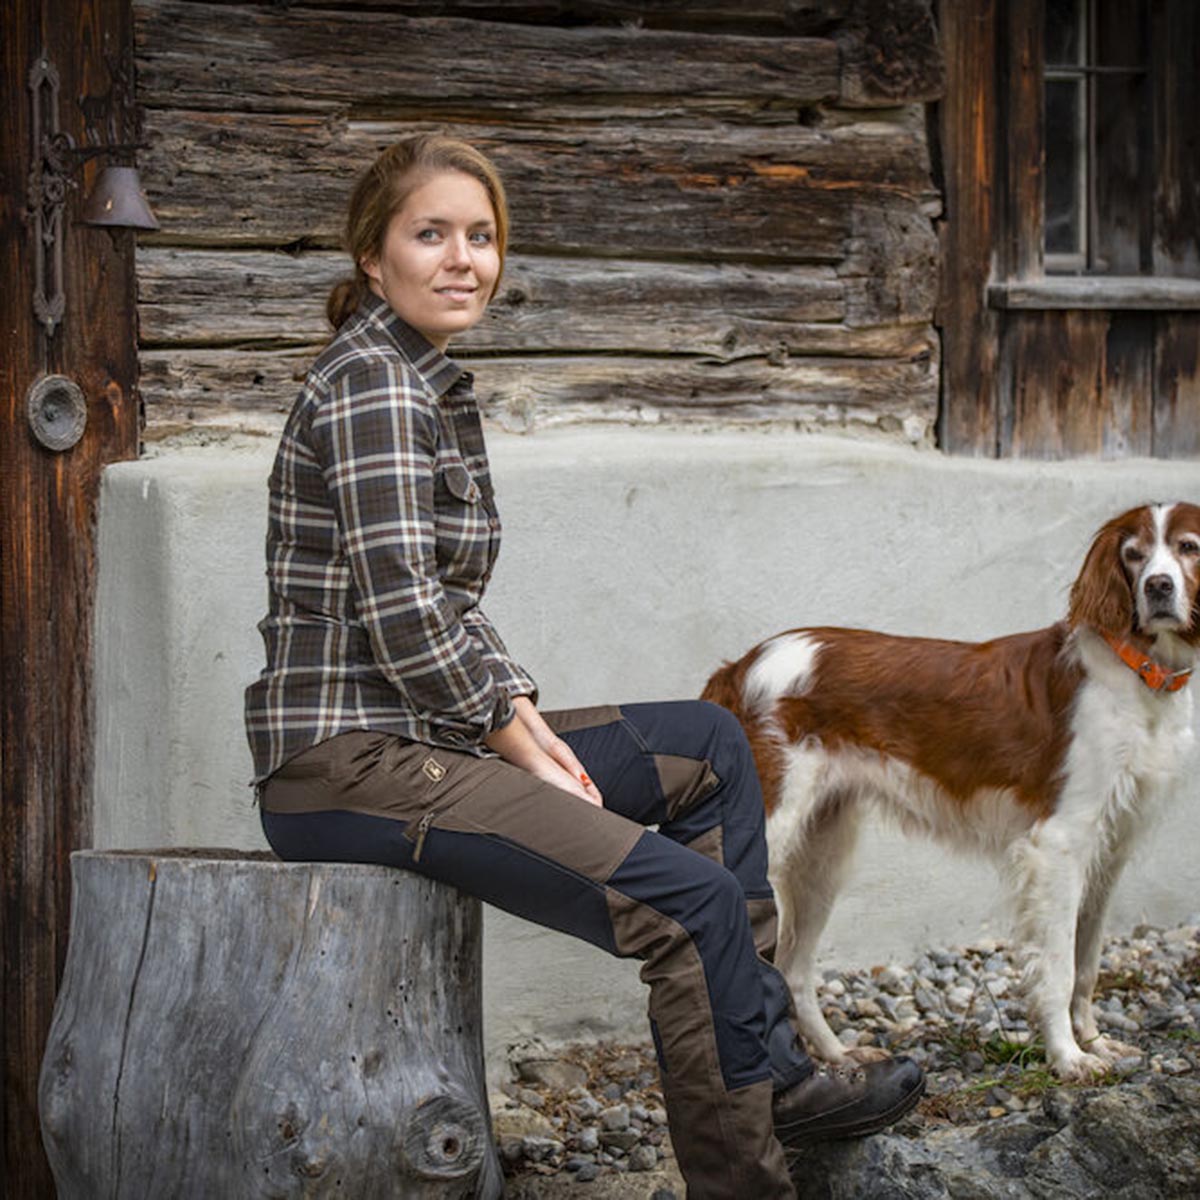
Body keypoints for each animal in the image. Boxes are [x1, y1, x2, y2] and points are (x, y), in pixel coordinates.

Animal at [700, 501, 1200, 1084]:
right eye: (1134, 554)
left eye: (1188, 547)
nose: (1159, 587)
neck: (1138, 670)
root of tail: (739, 667)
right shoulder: (1059, 843)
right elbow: (1057, 965)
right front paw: (1067, 1057)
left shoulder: (1109, 850)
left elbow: (1087, 963)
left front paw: (1095, 1041)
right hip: (766, 829)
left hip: (823, 855)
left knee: (793, 969)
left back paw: (838, 1055)